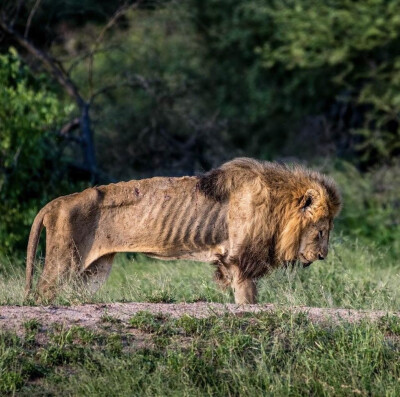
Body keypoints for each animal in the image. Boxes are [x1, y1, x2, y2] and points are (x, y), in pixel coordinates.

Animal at [25, 156, 340, 302]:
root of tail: (56, 202)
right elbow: (248, 299)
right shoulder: (241, 260)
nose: (323, 256)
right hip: (64, 262)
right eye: (321, 231)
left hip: (92, 272)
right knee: (42, 293)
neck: (277, 205)